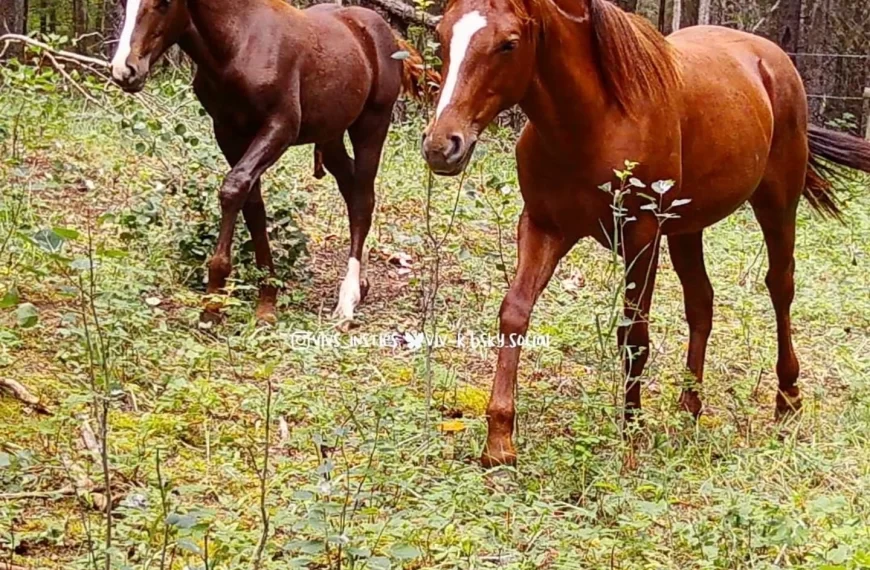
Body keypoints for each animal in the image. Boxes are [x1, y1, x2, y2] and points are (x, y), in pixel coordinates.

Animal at [110, 0, 431, 324]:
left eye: (163, 5)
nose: (125, 69)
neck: (236, 46)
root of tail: (386, 34)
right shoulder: (228, 133)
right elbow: (252, 204)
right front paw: (266, 298)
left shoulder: (281, 127)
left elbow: (233, 188)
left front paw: (213, 301)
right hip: (330, 136)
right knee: (351, 189)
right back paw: (362, 283)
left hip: (372, 124)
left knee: (364, 197)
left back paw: (348, 298)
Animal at [422, 0, 870, 466]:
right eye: (442, 34)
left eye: (508, 44)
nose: (441, 145)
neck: (595, 122)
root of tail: (772, 60)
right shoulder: (542, 227)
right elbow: (514, 312)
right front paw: (499, 440)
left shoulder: (641, 237)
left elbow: (633, 334)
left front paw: (632, 435)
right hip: (687, 229)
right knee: (701, 303)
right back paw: (689, 407)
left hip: (777, 205)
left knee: (780, 287)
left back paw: (787, 401)